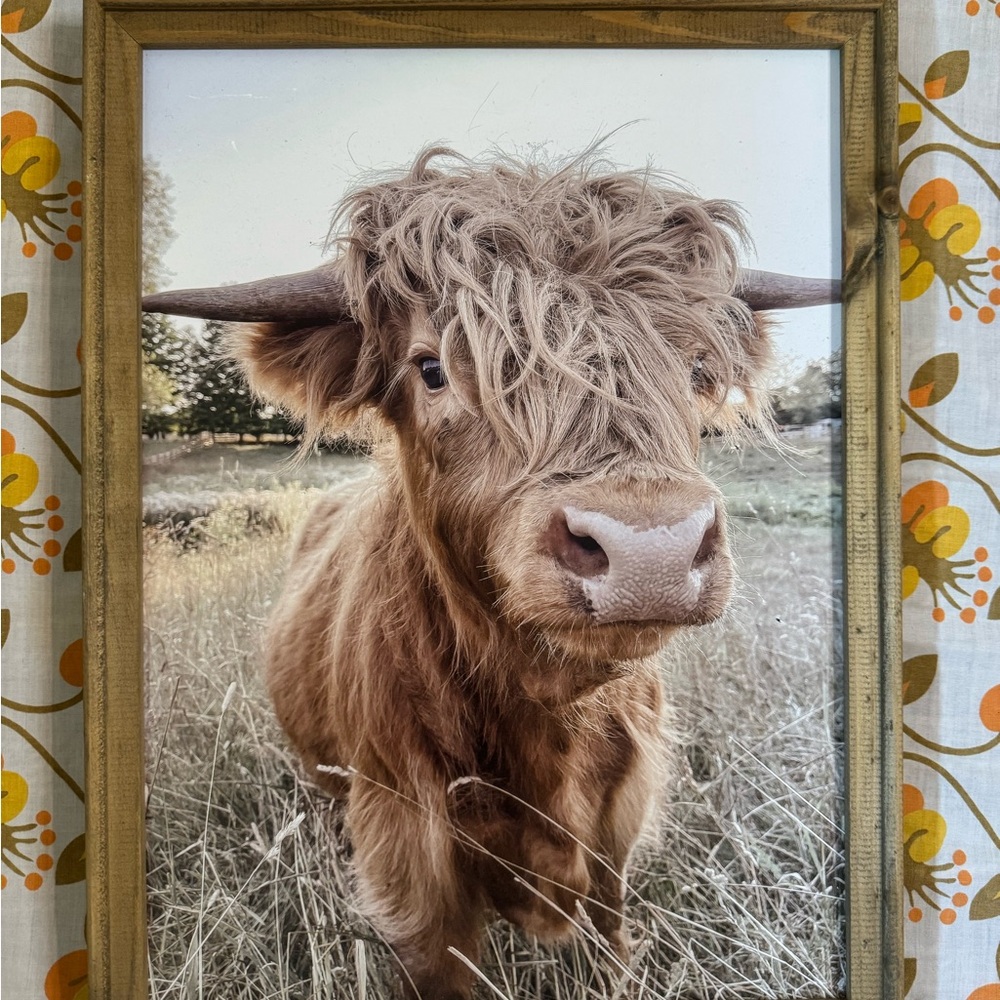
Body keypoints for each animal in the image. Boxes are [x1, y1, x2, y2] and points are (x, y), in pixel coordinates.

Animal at [143, 148, 839, 1000]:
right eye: (432, 368)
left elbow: (608, 944)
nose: (651, 549)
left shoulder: (618, 834)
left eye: (697, 365)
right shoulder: (410, 869)